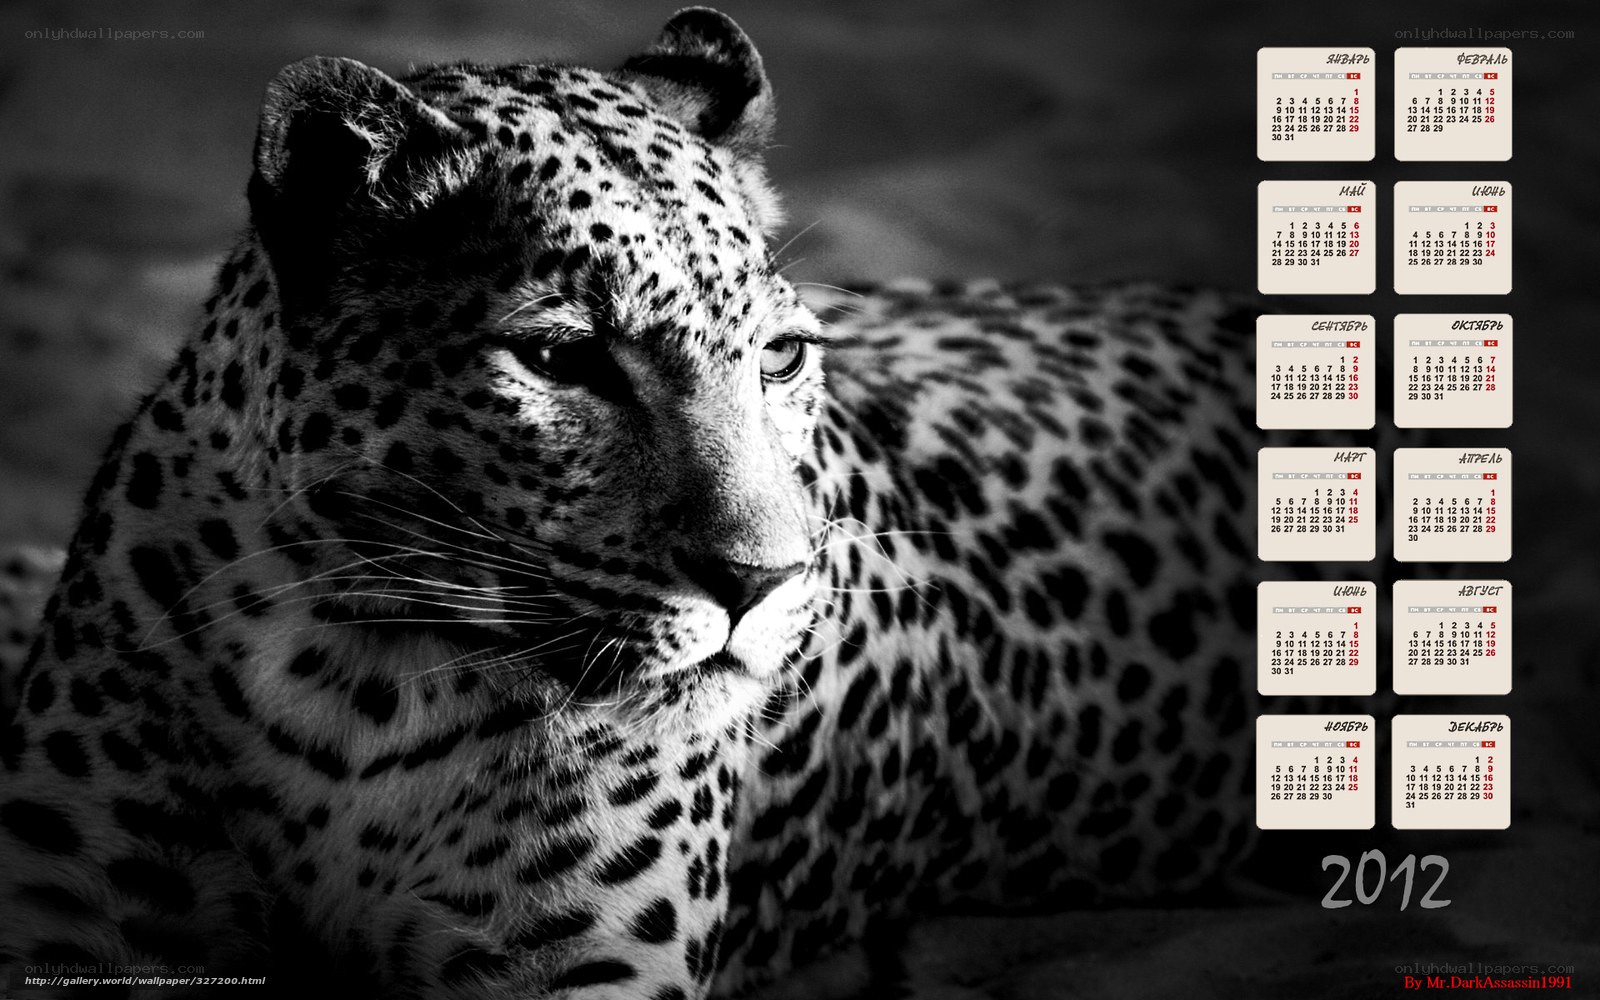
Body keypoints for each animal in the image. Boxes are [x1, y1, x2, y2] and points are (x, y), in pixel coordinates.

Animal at [0, 8, 1272, 998]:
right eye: (564, 362)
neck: (352, 680)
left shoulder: (579, 965)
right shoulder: (70, 909)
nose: (763, 582)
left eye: (780, 356)